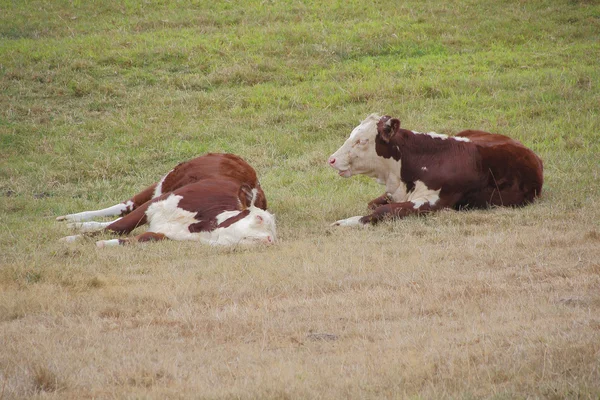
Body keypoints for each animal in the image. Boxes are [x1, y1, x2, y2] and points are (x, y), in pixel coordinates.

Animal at [57, 153, 276, 247]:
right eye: (259, 219)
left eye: (274, 232)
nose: (270, 239)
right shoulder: (156, 203)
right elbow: (118, 227)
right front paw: (71, 239)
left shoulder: (164, 234)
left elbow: (133, 237)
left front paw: (101, 243)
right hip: (163, 183)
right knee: (124, 206)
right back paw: (70, 219)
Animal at [328, 113, 544, 225]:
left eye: (362, 140)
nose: (332, 159)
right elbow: (373, 204)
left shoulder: (432, 203)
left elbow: (384, 210)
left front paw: (343, 223)